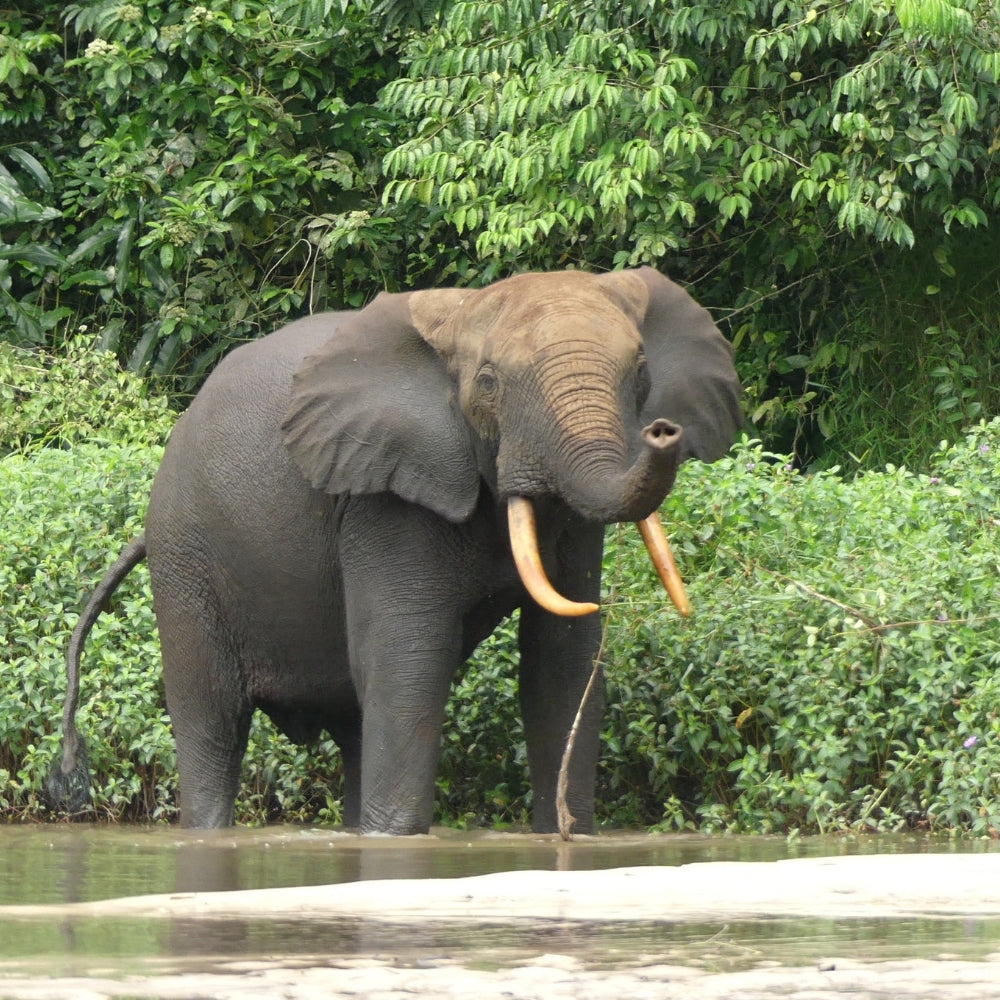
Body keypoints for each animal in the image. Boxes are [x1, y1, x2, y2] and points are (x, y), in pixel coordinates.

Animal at [47, 267, 741, 835]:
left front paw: (567, 838)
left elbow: (561, 659)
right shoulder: (382, 493)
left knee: (354, 719)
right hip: (187, 557)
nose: (663, 431)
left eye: (642, 373)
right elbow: (411, 655)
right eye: (488, 383)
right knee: (211, 722)